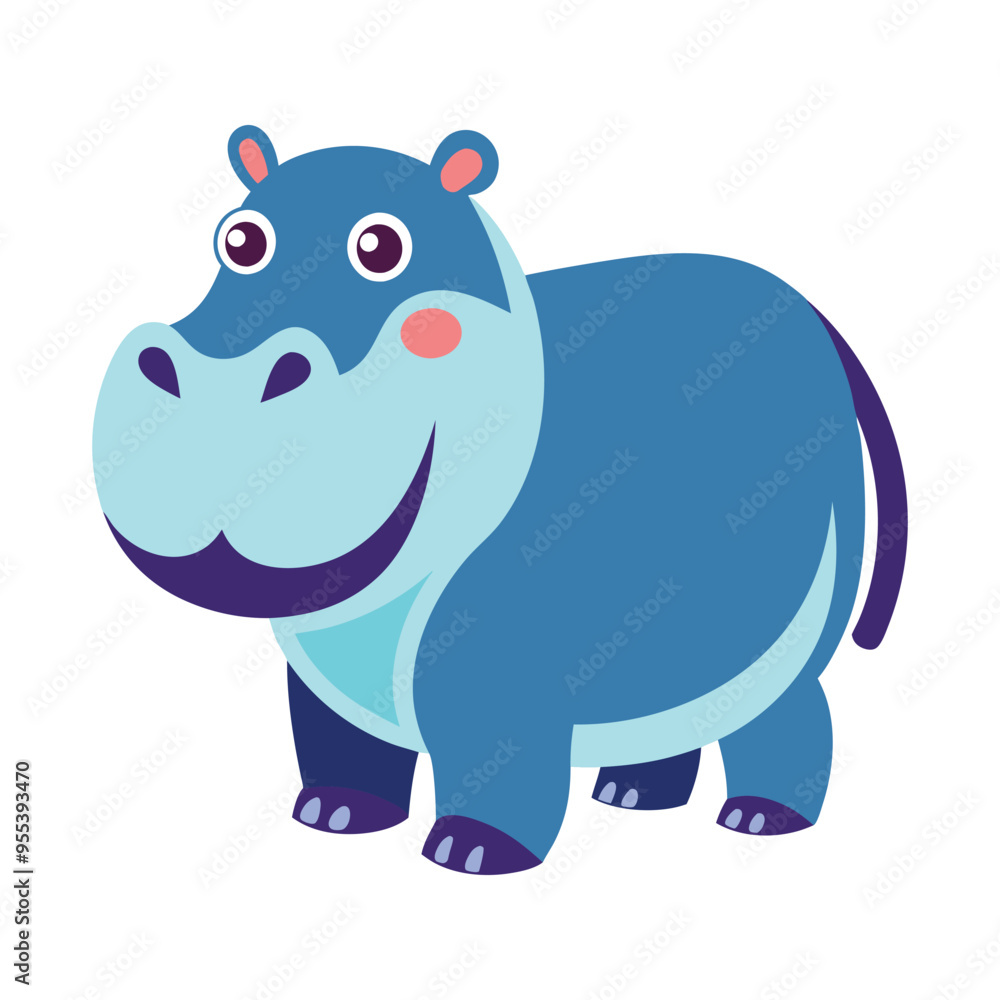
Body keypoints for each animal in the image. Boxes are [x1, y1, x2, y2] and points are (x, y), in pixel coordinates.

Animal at [93, 125, 906, 875]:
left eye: (381, 246)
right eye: (238, 239)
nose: (218, 381)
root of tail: (812, 311)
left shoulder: (503, 672)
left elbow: (498, 761)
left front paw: (472, 853)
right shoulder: (321, 683)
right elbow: (339, 745)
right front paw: (334, 817)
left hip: (793, 636)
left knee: (795, 713)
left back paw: (762, 819)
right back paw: (632, 796)